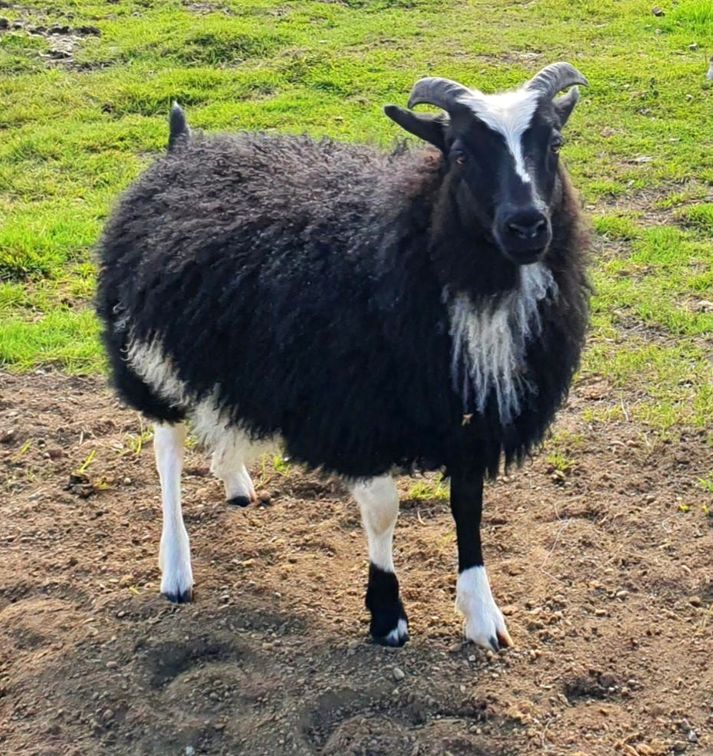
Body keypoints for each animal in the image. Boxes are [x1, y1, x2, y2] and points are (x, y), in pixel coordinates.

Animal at [98, 63, 588, 648]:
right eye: (461, 154)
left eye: (554, 143)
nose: (528, 226)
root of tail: (183, 150)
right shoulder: (359, 414)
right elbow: (383, 512)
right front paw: (387, 614)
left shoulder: (468, 415)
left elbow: (467, 506)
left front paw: (482, 616)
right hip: (148, 350)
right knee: (166, 447)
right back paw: (175, 567)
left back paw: (235, 480)